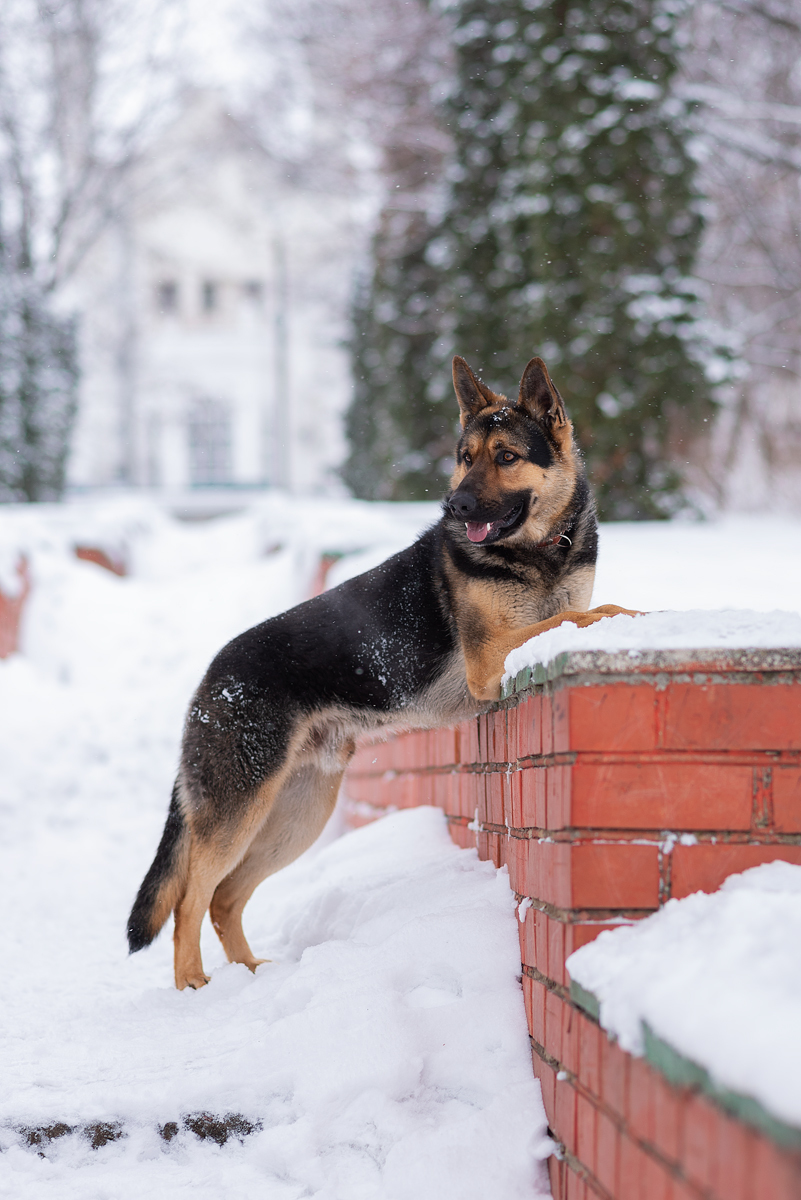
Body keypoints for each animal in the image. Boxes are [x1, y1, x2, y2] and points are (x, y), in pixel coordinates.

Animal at [130, 352, 633, 984]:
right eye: (465, 458)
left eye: (506, 457)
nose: (455, 506)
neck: (536, 554)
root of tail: (211, 678)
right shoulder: (488, 658)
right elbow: (582, 614)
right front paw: (628, 613)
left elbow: (574, 610)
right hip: (241, 811)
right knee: (191, 898)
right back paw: (194, 985)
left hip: (300, 811)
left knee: (224, 898)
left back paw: (252, 974)